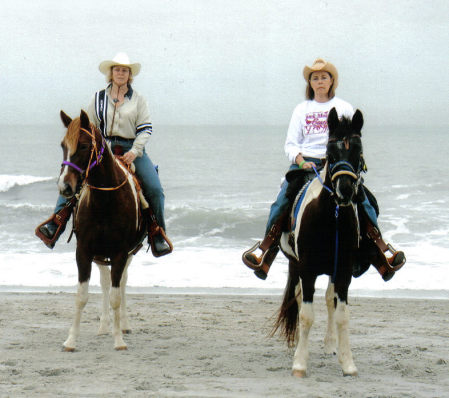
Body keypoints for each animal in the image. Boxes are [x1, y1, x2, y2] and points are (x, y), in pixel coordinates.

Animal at [57, 109, 147, 352]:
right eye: (63, 145)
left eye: (84, 145)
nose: (65, 187)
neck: (105, 202)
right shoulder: (84, 252)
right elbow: (81, 296)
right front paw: (70, 340)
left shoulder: (120, 253)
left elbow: (116, 295)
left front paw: (119, 341)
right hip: (99, 255)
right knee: (106, 282)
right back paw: (104, 326)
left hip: (127, 254)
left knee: (121, 283)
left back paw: (123, 326)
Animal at [272, 108, 364, 376]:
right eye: (330, 154)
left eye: (358, 152)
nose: (345, 190)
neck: (331, 219)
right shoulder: (307, 268)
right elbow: (306, 315)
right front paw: (300, 364)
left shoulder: (343, 270)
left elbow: (342, 314)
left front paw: (348, 363)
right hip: (295, 265)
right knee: (300, 298)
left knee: (329, 300)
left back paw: (330, 345)